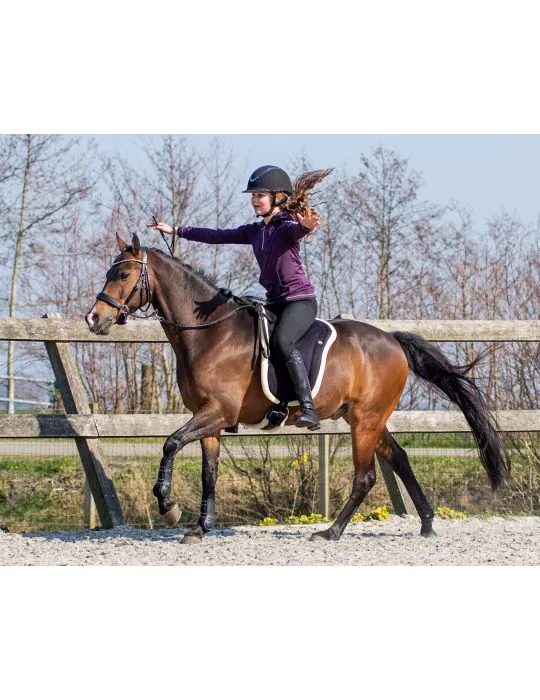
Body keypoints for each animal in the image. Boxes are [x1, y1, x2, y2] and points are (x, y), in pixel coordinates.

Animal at [85, 233, 510, 544]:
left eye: (122, 276)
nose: (93, 318)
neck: (209, 333)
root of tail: (391, 339)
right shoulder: (209, 418)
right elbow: (209, 473)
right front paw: (200, 528)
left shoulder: (217, 412)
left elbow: (171, 442)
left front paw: (169, 504)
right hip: (367, 419)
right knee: (401, 459)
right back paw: (425, 523)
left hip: (365, 420)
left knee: (366, 476)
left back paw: (332, 531)